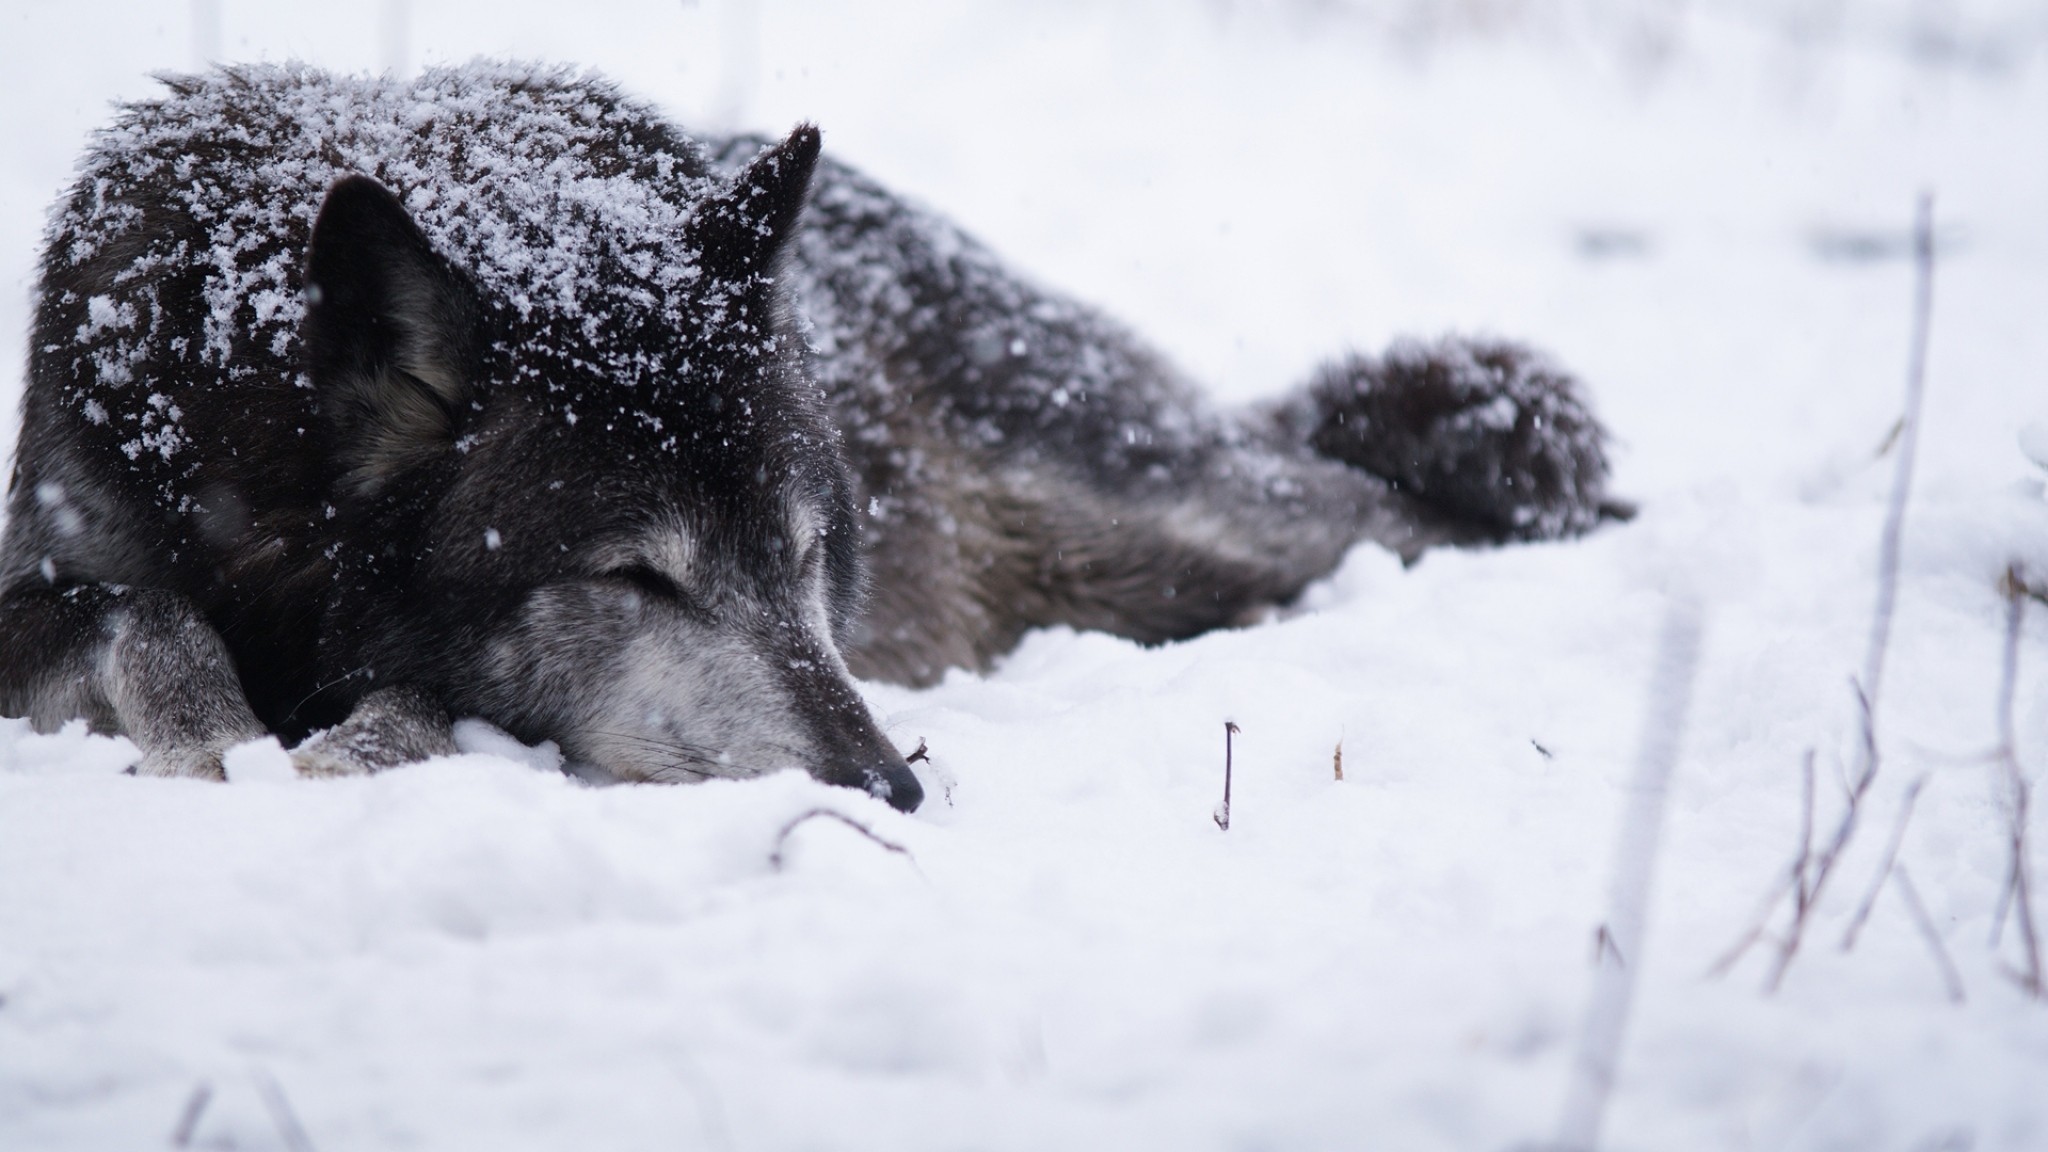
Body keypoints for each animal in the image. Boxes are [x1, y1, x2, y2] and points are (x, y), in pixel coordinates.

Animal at [0, 64, 1618, 813]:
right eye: (635, 577)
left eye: (801, 557)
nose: (893, 789)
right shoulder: (59, 555)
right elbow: (139, 608)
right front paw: (221, 735)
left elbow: (405, 700)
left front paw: (334, 748)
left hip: (1176, 523)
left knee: (1400, 514)